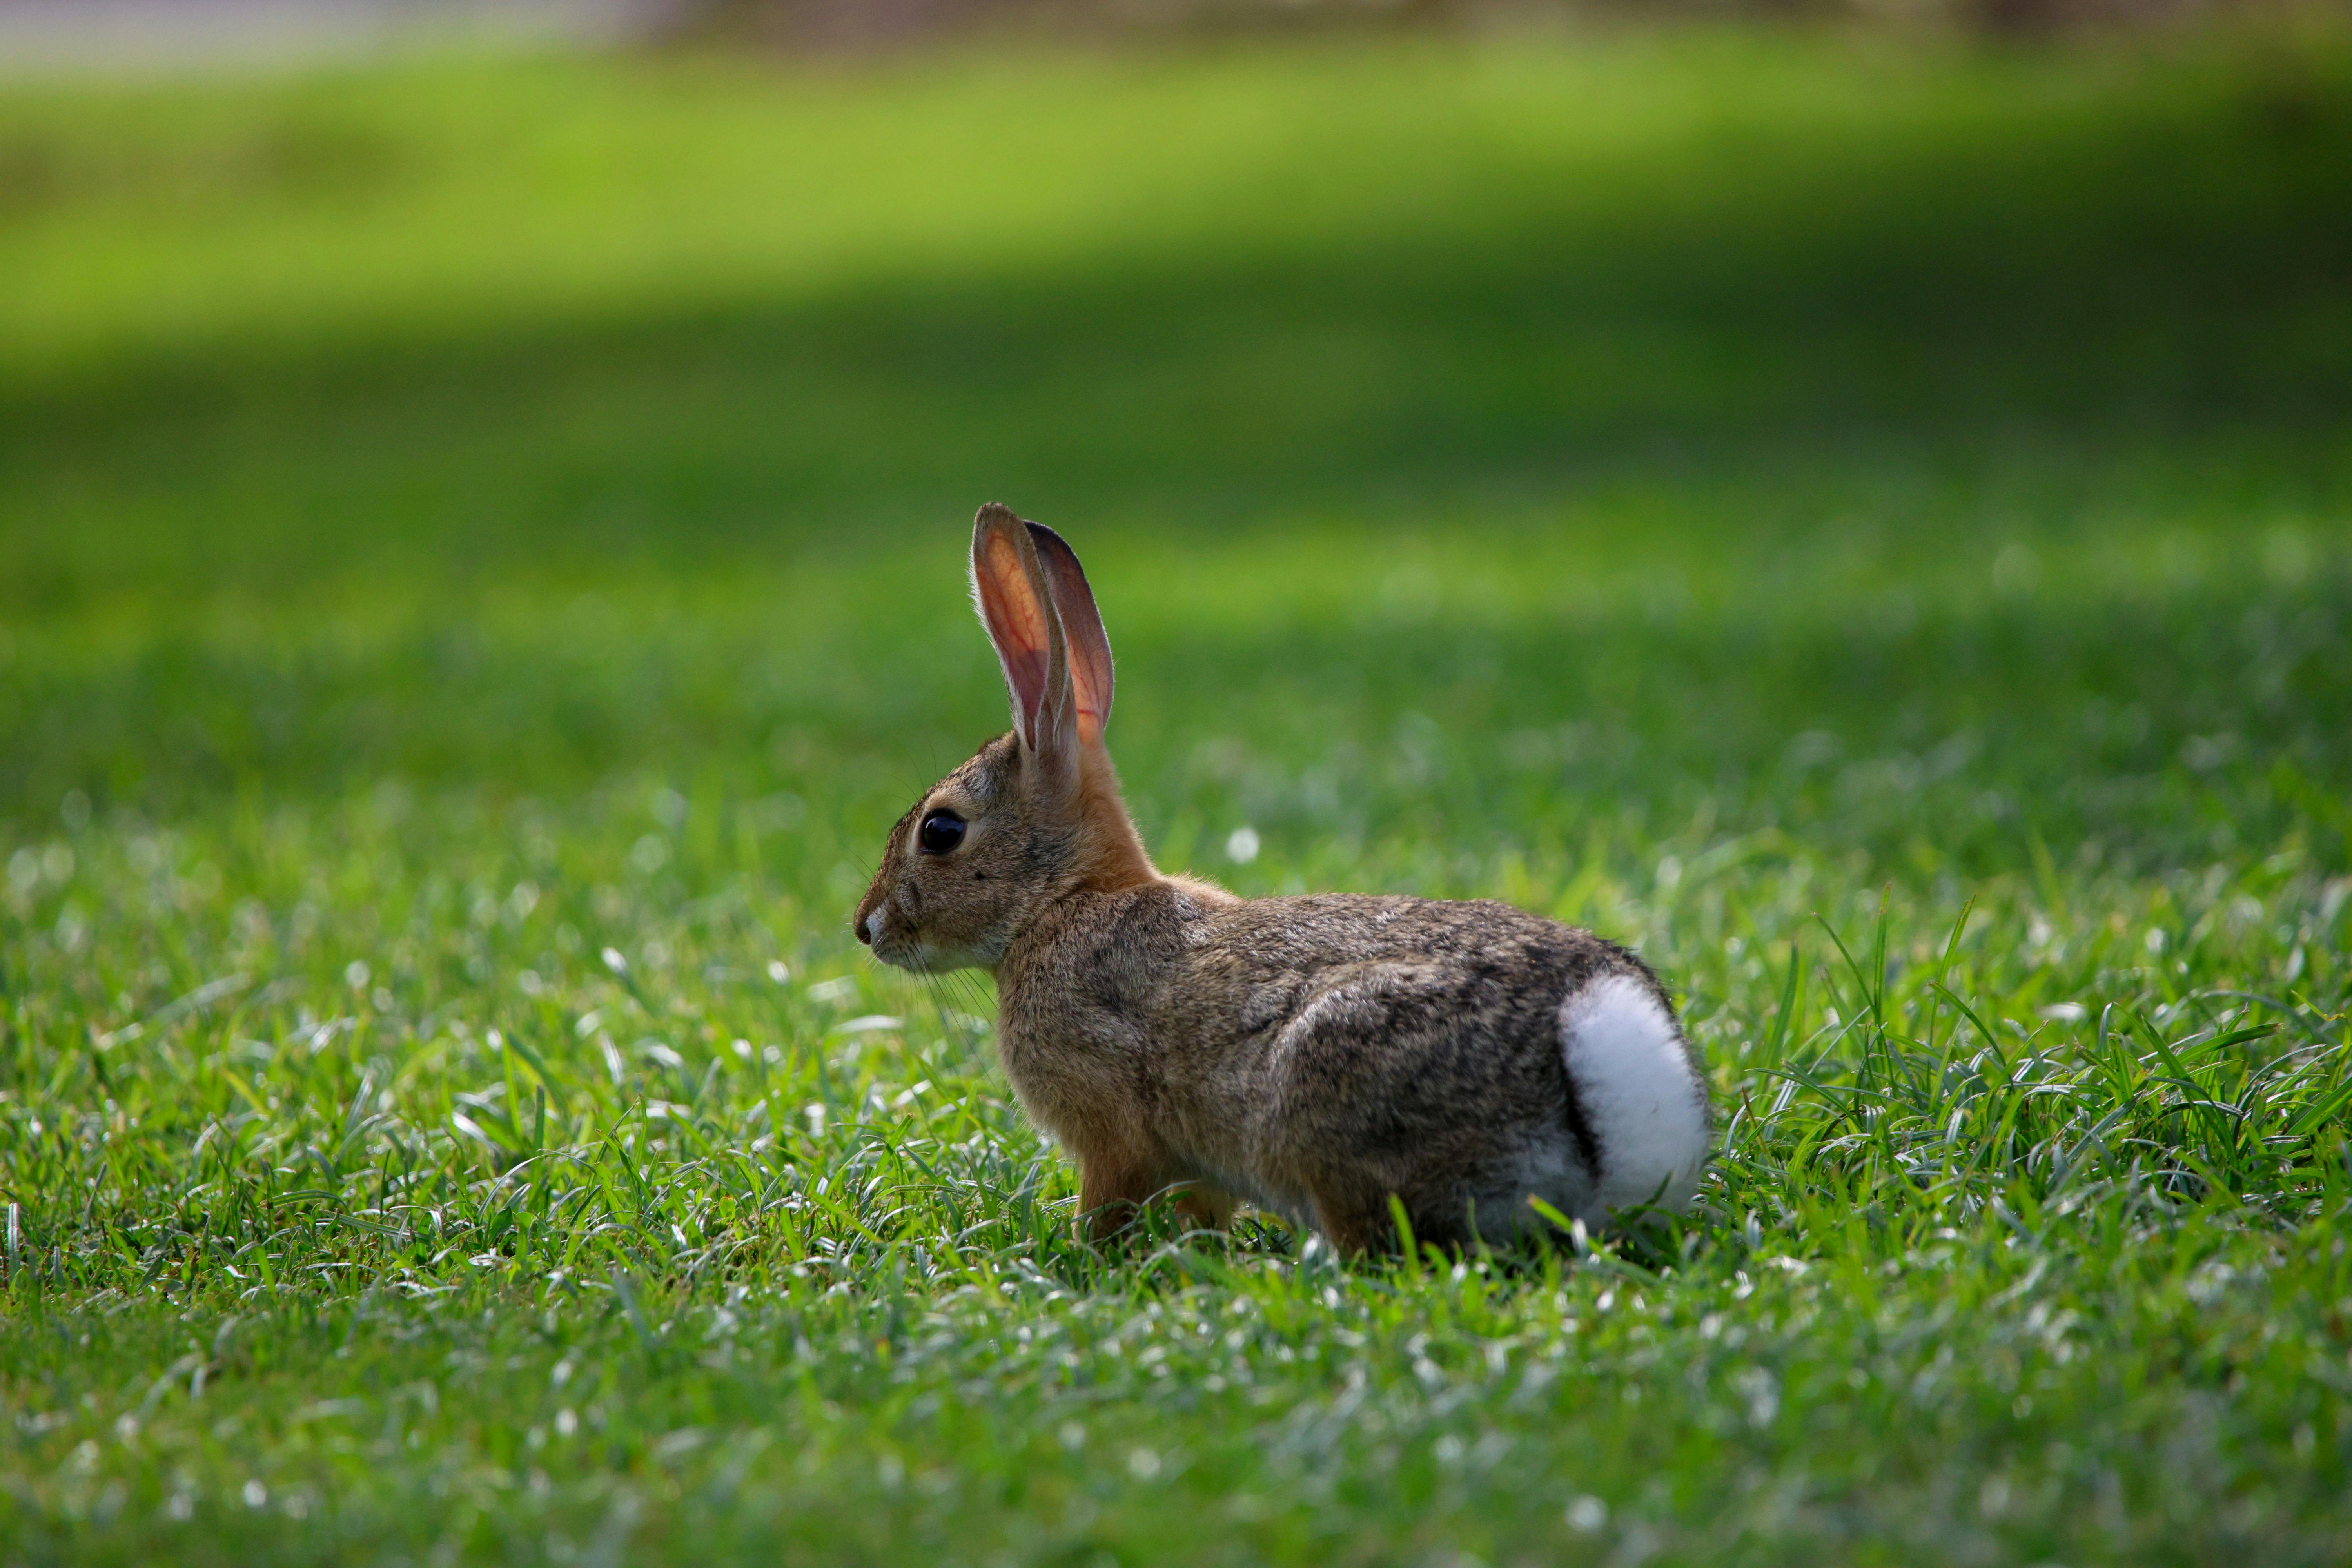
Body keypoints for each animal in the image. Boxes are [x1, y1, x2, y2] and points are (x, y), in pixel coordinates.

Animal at [856, 510, 1703, 1260]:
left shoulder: (1113, 1130)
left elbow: (1109, 1204)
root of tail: (1598, 1043)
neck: (1066, 901)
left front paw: (1085, 1258)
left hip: (1329, 1102)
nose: (867, 927)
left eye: (941, 831)